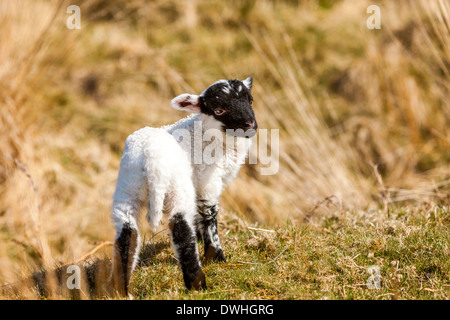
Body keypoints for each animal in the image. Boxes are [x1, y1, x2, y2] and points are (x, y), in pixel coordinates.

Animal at [110, 77, 256, 296]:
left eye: (250, 100)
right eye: (219, 110)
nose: (250, 125)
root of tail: (151, 157)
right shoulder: (206, 182)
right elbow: (208, 216)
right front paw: (216, 257)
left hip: (128, 188)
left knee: (128, 233)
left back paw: (120, 290)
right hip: (178, 187)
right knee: (180, 226)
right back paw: (198, 284)